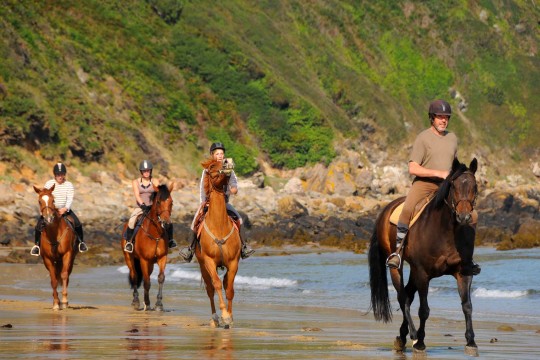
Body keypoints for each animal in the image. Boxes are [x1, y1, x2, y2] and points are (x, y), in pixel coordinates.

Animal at [196, 159, 240, 328]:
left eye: (223, 159)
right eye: (212, 166)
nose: (228, 162)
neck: (219, 225)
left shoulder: (233, 262)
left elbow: (229, 288)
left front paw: (230, 316)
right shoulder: (209, 261)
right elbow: (216, 284)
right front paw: (224, 315)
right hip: (202, 266)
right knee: (210, 289)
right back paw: (214, 318)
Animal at [370, 159, 478, 356]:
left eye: (475, 186)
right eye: (453, 186)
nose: (464, 217)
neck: (446, 231)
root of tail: (387, 209)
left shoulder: (463, 272)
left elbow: (467, 305)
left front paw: (471, 342)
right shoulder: (423, 273)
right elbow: (424, 310)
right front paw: (420, 342)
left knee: (408, 294)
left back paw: (402, 337)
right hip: (398, 267)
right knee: (403, 297)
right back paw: (412, 335)